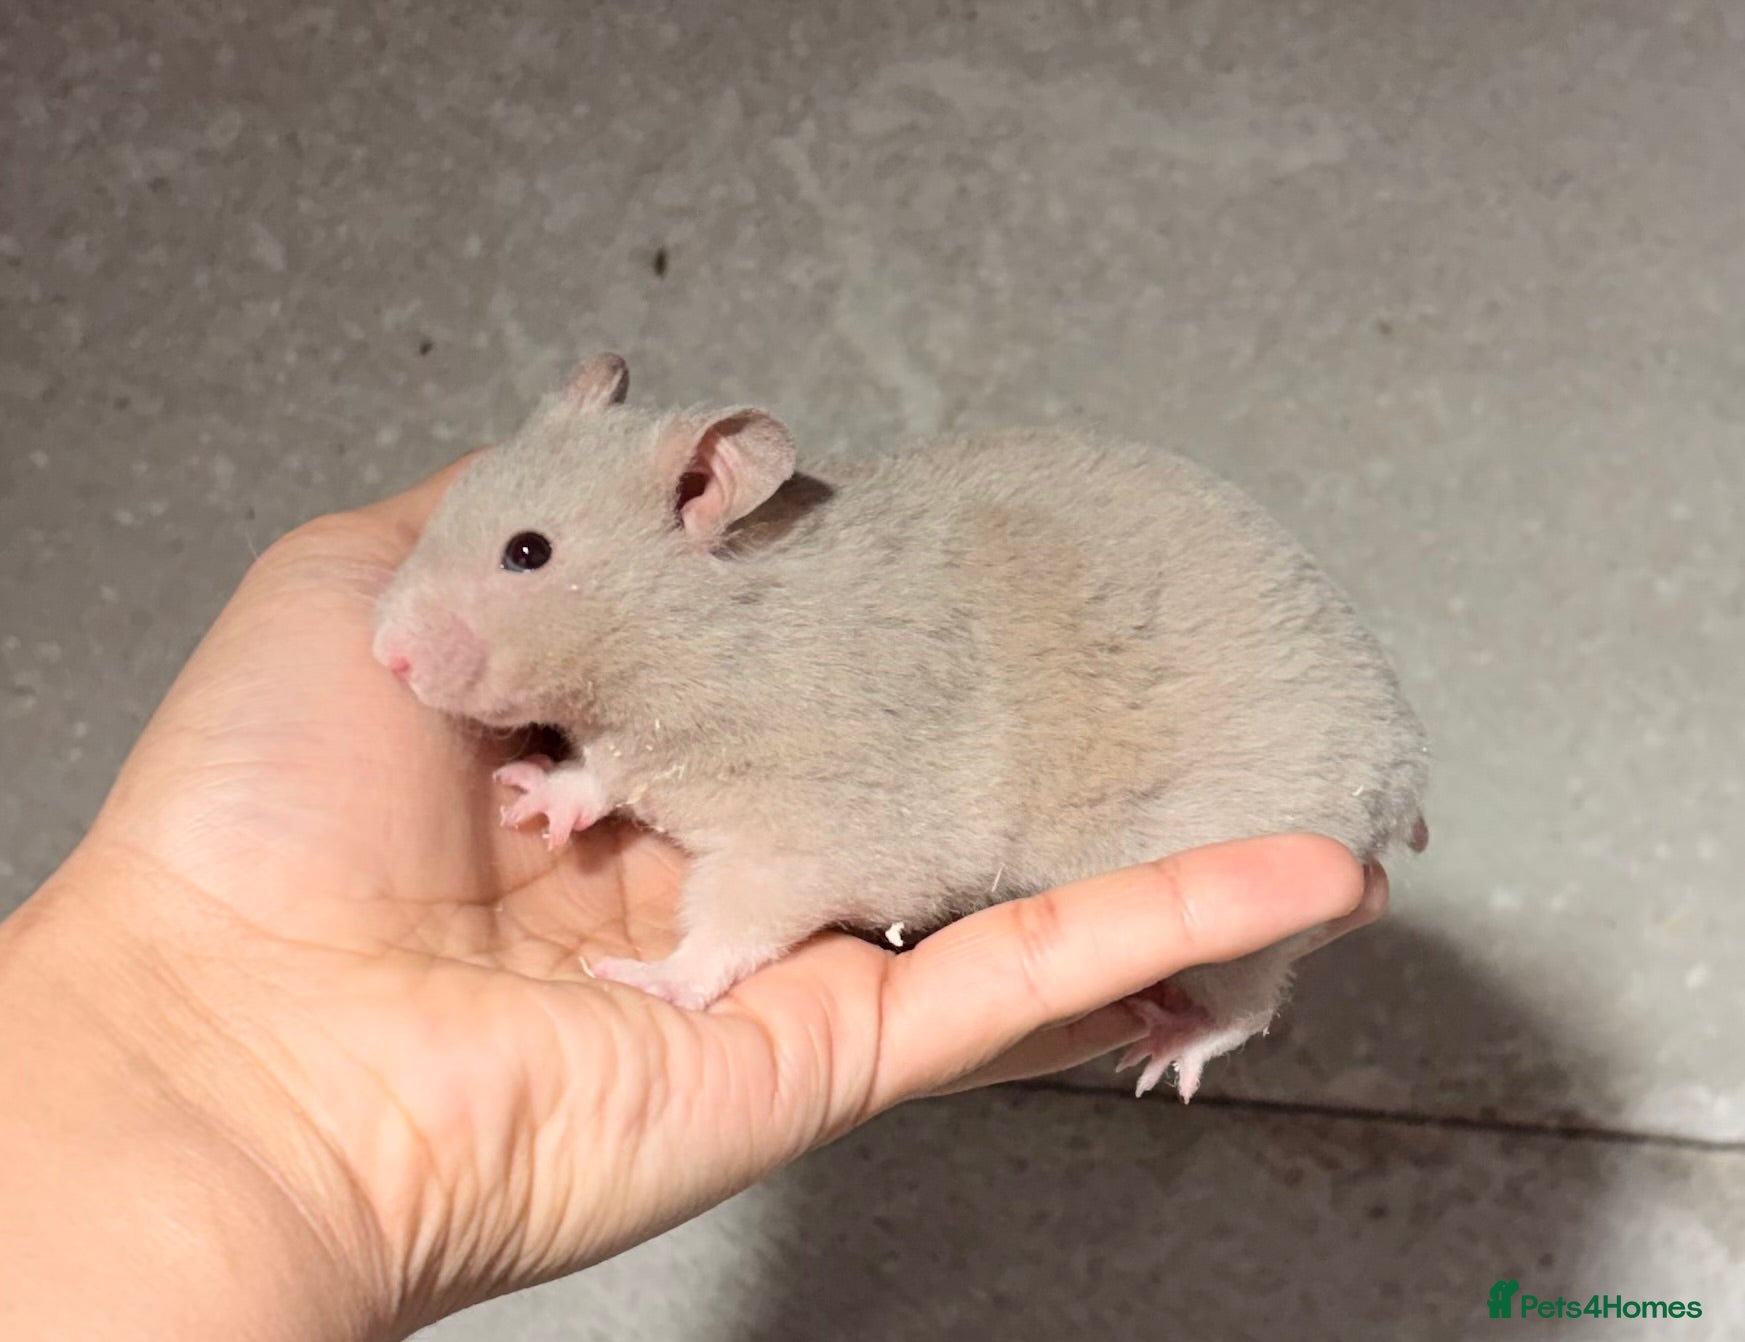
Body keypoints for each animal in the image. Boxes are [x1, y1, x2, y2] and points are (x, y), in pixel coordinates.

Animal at [373, 354, 1429, 1100]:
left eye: (528, 553)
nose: (385, 655)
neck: (707, 632)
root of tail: (1404, 770)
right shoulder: (639, 753)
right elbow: (595, 774)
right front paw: (528, 797)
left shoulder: (810, 836)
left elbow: (730, 926)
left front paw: (646, 981)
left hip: (1249, 905)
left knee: (1247, 1002)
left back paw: (1164, 1050)